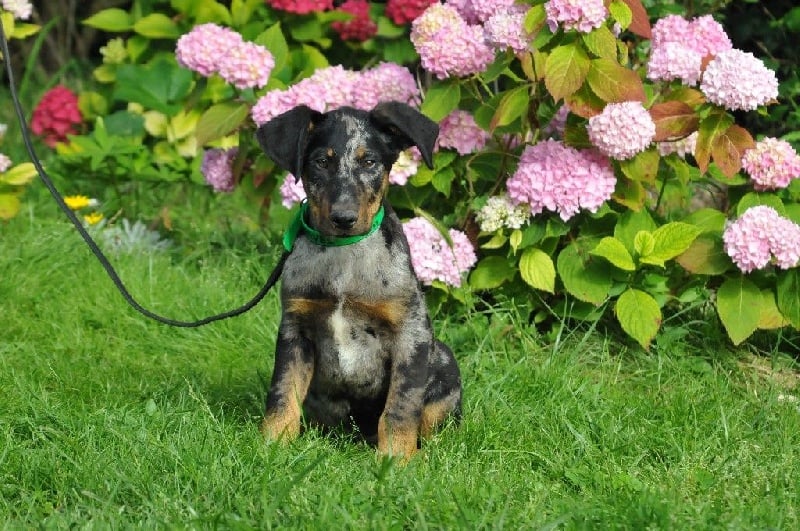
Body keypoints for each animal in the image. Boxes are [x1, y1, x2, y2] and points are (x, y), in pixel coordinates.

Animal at [255, 101, 462, 459]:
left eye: (369, 162)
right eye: (321, 162)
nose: (344, 218)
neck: (345, 254)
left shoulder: (412, 331)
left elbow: (400, 405)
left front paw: (396, 459)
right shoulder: (295, 329)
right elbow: (282, 391)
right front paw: (273, 444)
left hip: (444, 361)